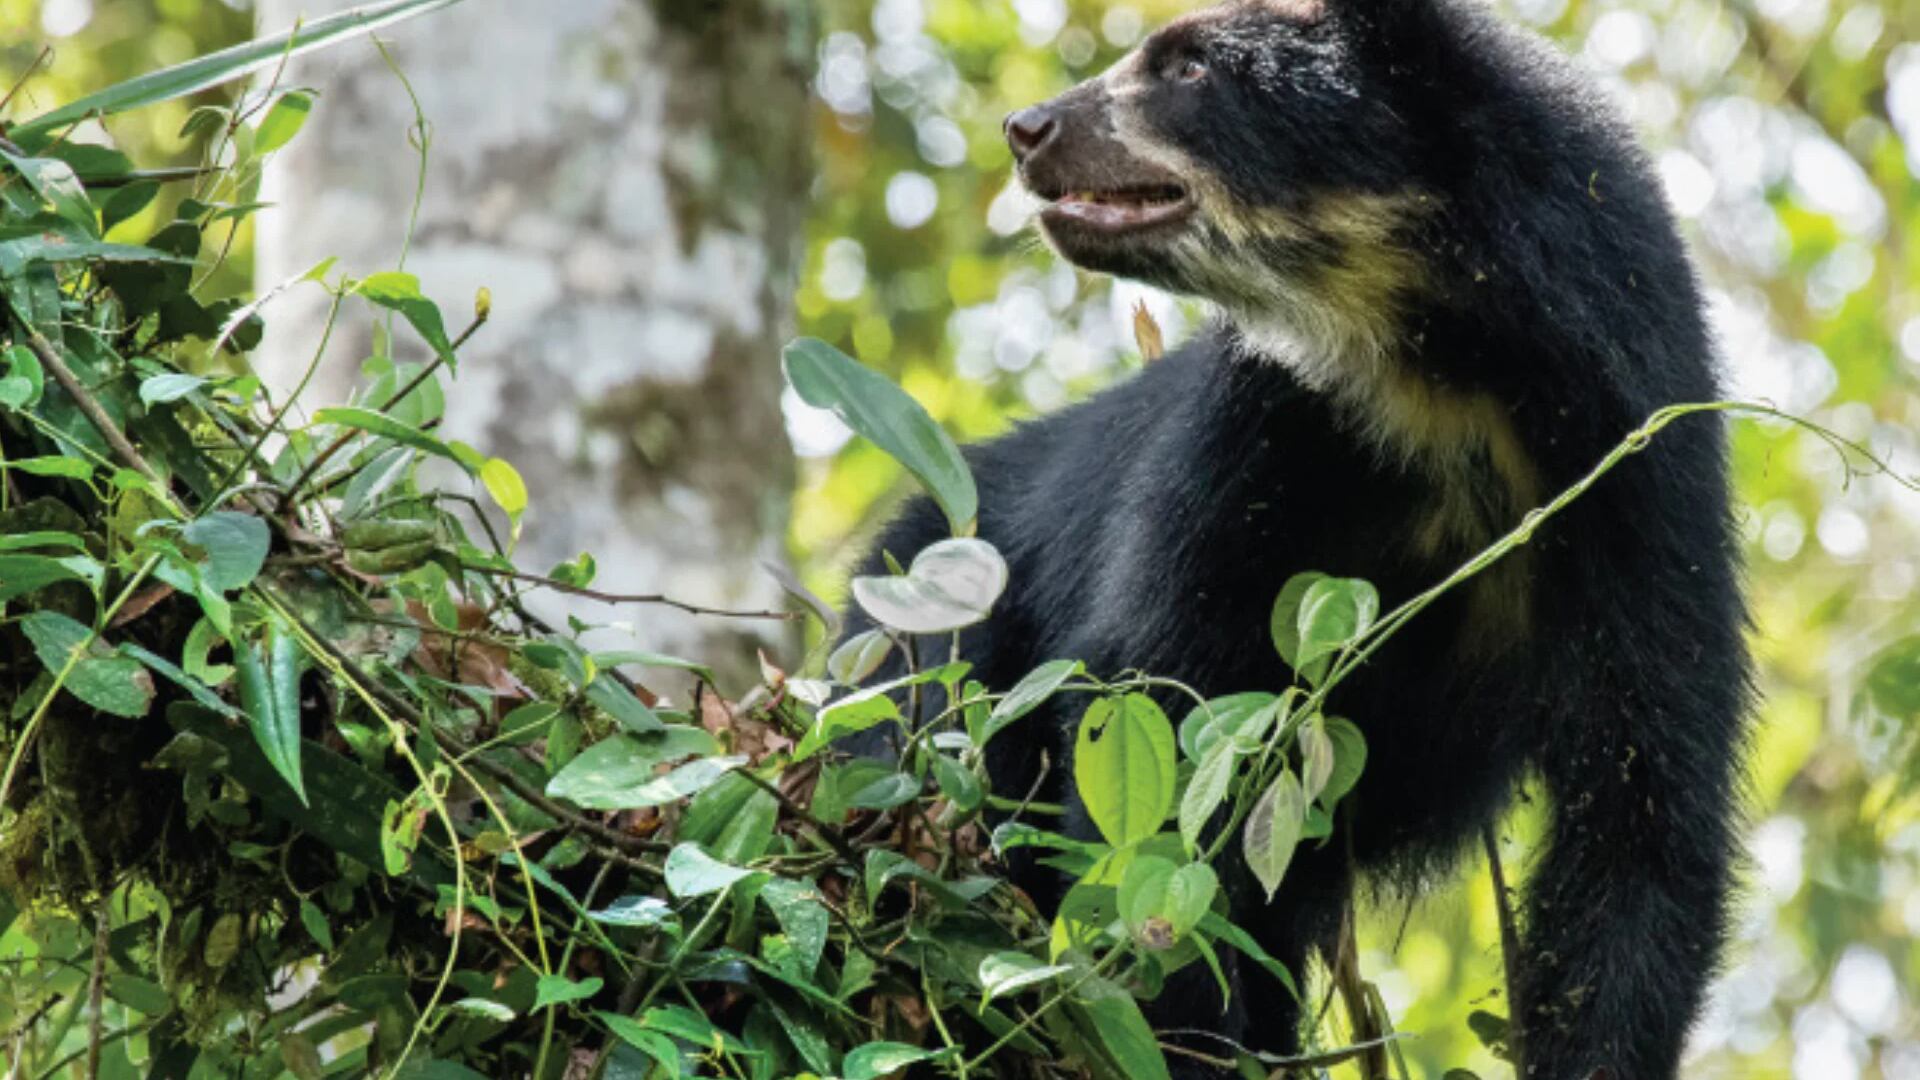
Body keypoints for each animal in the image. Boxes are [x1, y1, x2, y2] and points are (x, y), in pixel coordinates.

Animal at [842, 1, 1749, 1077]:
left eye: (1189, 68)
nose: (1027, 129)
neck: (1445, 380)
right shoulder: (1252, 441)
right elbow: (1164, 722)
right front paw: (1180, 1034)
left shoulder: (1639, 485)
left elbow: (1643, 813)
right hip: (932, 634)